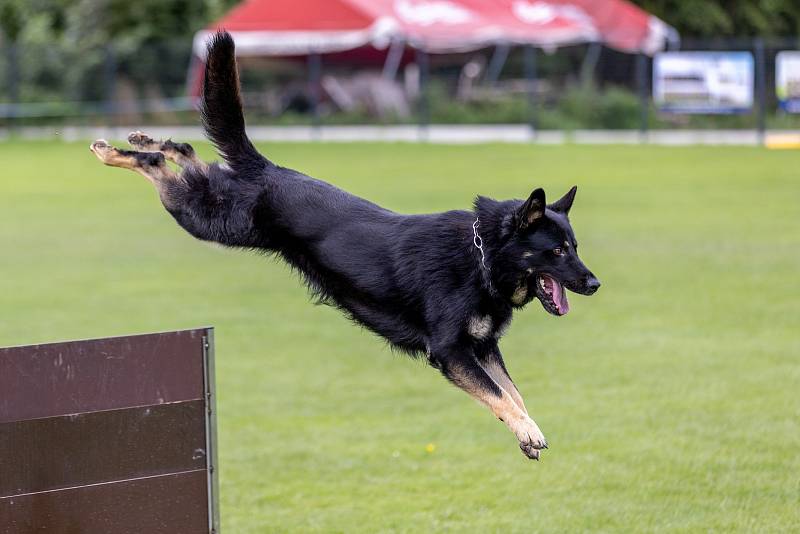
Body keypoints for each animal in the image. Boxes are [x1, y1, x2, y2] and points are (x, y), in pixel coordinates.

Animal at [87, 31, 600, 462]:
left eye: (574, 246)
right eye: (557, 252)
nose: (595, 284)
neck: (482, 258)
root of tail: (268, 170)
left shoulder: (484, 347)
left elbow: (513, 392)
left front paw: (527, 429)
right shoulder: (451, 350)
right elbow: (497, 393)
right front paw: (527, 430)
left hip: (212, 208)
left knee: (189, 155)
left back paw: (145, 139)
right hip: (208, 220)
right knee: (163, 168)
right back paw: (114, 151)